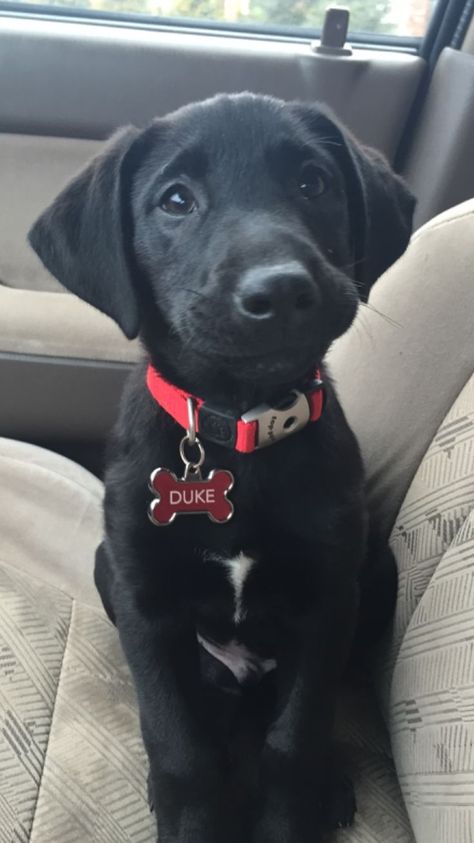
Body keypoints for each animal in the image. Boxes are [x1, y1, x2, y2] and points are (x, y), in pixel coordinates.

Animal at [28, 94, 414, 843]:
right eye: (175, 201)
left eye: (314, 182)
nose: (281, 289)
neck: (236, 427)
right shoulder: (143, 599)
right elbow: (180, 747)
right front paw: (188, 814)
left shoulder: (329, 597)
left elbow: (293, 739)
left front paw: (295, 810)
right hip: (104, 563)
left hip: (377, 568)